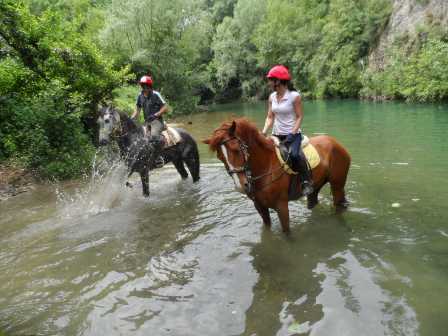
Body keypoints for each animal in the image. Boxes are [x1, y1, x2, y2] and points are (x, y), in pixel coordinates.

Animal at [199, 119, 350, 232]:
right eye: (220, 157)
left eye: (236, 150)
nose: (241, 186)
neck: (266, 166)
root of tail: (336, 143)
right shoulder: (260, 207)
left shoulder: (282, 206)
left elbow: (286, 233)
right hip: (316, 187)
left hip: (337, 185)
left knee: (338, 206)